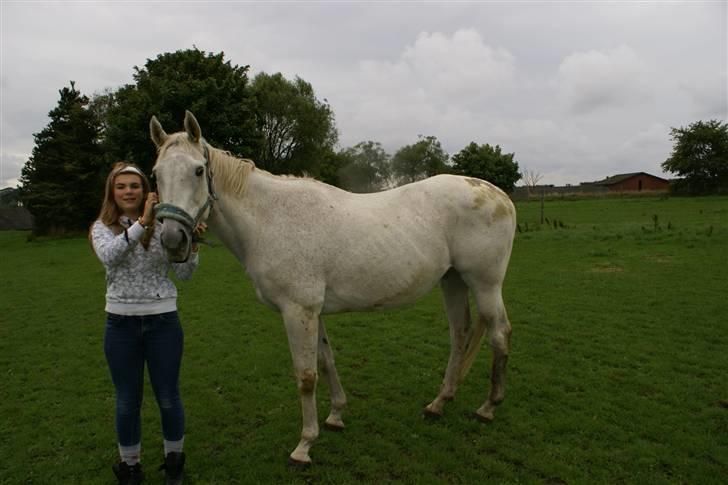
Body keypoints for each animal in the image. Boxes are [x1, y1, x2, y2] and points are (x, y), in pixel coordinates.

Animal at [151, 111, 516, 464]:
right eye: (156, 174)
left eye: (198, 170)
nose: (172, 240)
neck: (270, 219)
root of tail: (499, 195)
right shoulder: (313, 312)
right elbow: (326, 362)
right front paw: (336, 416)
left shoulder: (298, 311)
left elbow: (306, 376)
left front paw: (304, 445)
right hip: (452, 280)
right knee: (460, 334)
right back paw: (438, 403)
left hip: (484, 283)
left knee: (499, 334)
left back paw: (488, 408)